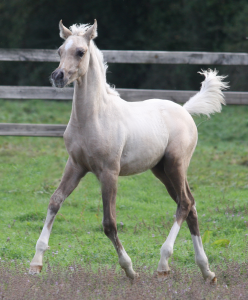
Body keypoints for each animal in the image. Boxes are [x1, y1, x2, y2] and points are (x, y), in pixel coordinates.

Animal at [28, 19, 227, 282]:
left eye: (80, 52)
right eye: (60, 51)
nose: (58, 76)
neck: (92, 118)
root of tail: (185, 110)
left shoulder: (109, 172)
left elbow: (109, 223)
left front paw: (129, 269)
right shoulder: (76, 165)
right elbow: (54, 202)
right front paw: (36, 263)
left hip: (176, 164)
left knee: (184, 203)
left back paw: (164, 264)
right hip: (161, 170)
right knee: (190, 206)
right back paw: (206, 271)